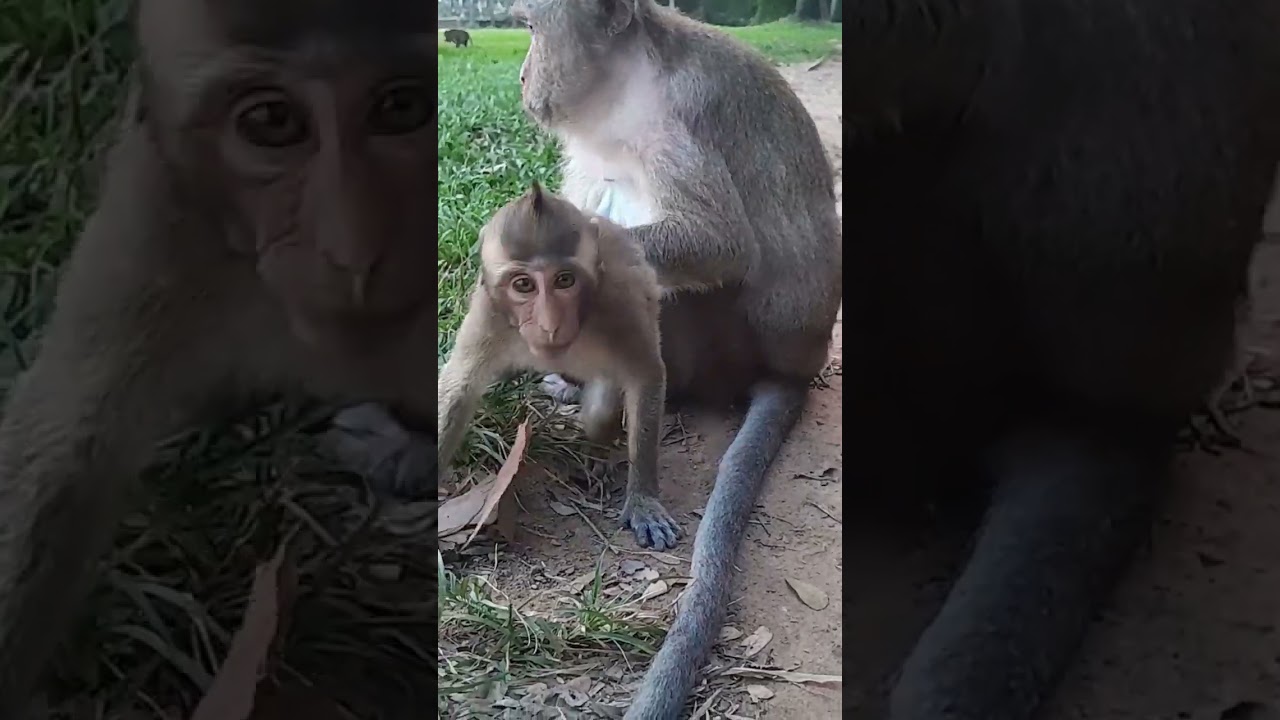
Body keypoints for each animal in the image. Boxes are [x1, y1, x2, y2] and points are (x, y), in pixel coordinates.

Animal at [436, 183, 680, 550]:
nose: (549, 324)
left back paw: (597, 452)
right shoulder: (490, 313)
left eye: (565, 280)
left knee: (599, 411)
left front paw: (643, 501)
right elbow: (459, 388)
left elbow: (645, 375)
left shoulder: (619, 301)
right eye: (523, 285)